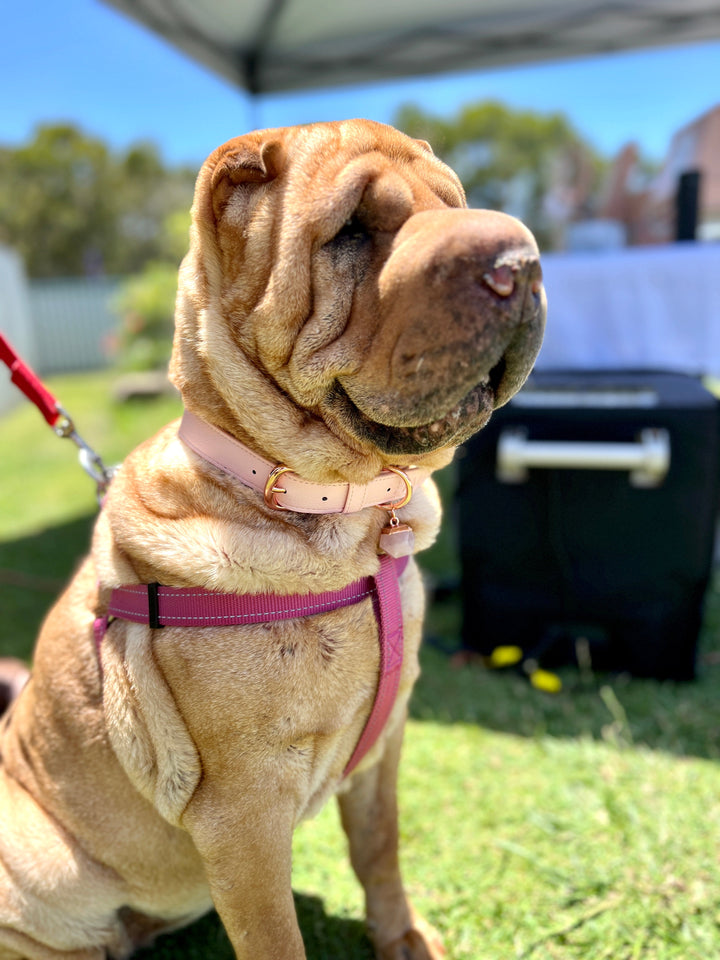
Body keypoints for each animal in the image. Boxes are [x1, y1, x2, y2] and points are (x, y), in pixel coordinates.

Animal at [0, 120, 544, 960]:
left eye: (453, 204)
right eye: (351, 229)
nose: (520, 260)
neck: (348, 515)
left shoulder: (384, 747)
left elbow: (380, 848)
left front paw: (403, 936)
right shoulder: (243, 814)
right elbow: (276, 936)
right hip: (35, 864)